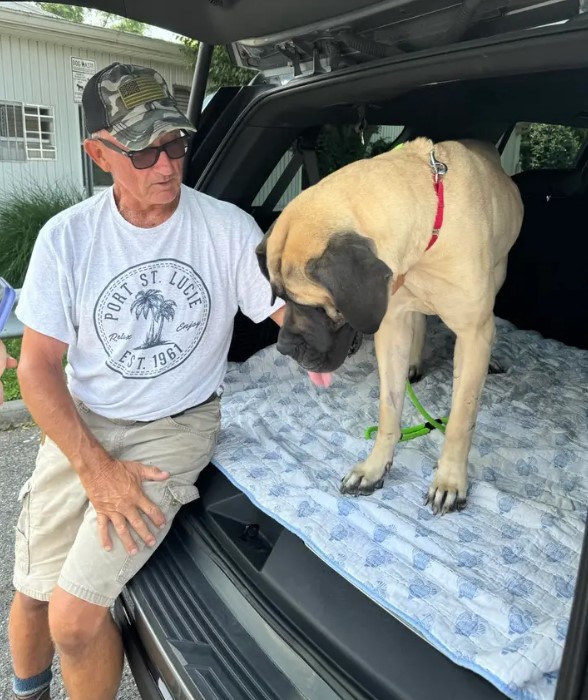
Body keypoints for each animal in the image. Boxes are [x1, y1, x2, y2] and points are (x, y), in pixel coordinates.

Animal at [258, 139, 524, 516]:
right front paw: (374, 467)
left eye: (316, 307)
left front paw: (450, 482)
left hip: (497, 275)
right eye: (279, 296)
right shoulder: (391, 323)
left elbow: (461, 419)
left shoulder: (472, 333)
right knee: (418, 318)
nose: (284, 348)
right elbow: (389, 407)